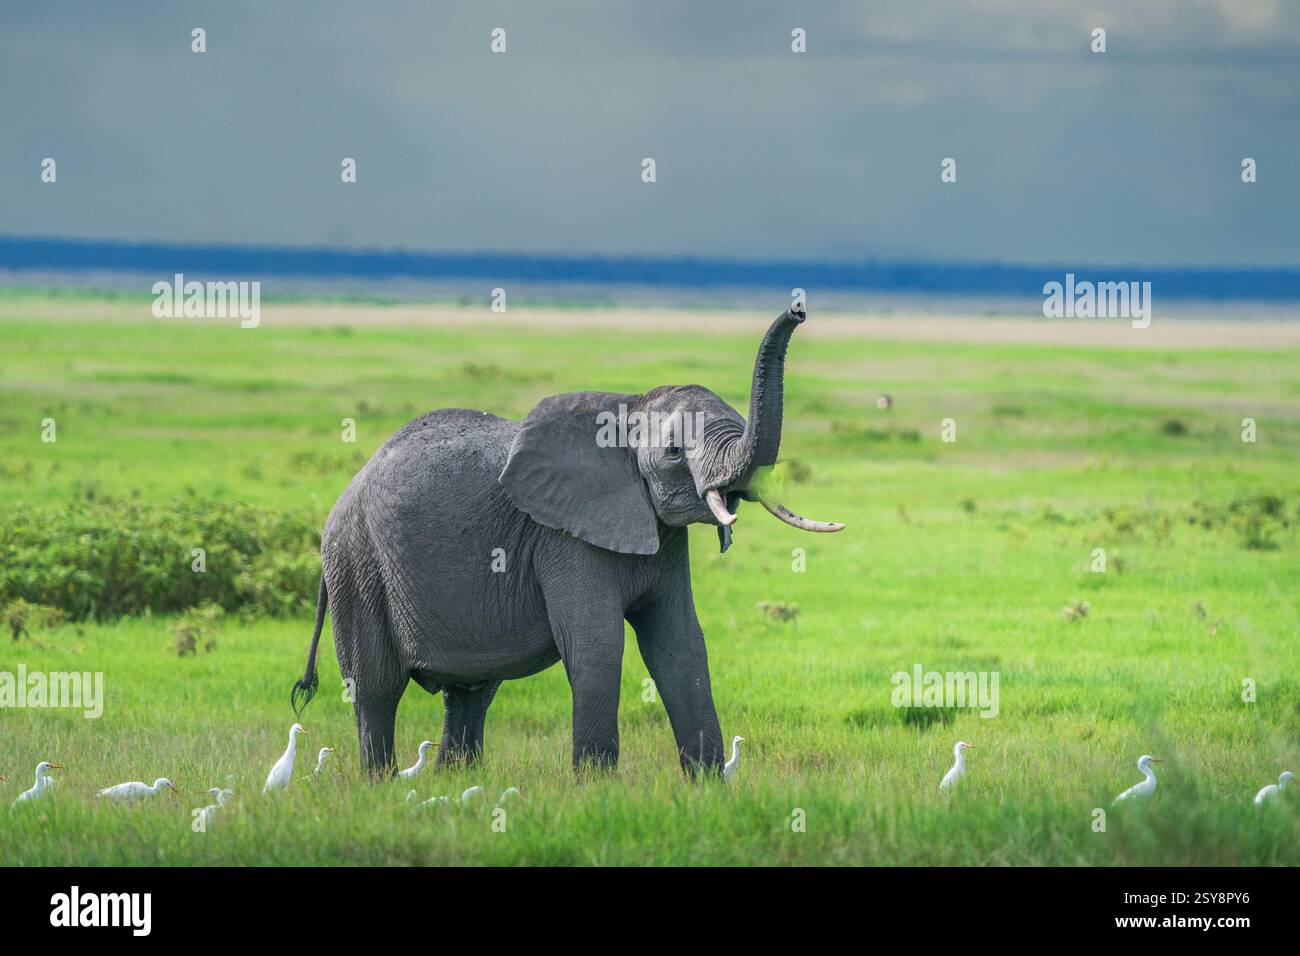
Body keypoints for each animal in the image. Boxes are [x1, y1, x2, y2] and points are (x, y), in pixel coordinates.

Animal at [290, 304, 843, 777]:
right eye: (671, 452)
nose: (799, 308)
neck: (628, 407)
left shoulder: (662, 535)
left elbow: (682, 646)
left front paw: (708, 789)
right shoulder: (564, 538)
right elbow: (598, 646)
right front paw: (596, 792)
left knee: (470, 691)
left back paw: (453, 782)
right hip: (357, 565)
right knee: (376, 690)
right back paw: (380, 785)